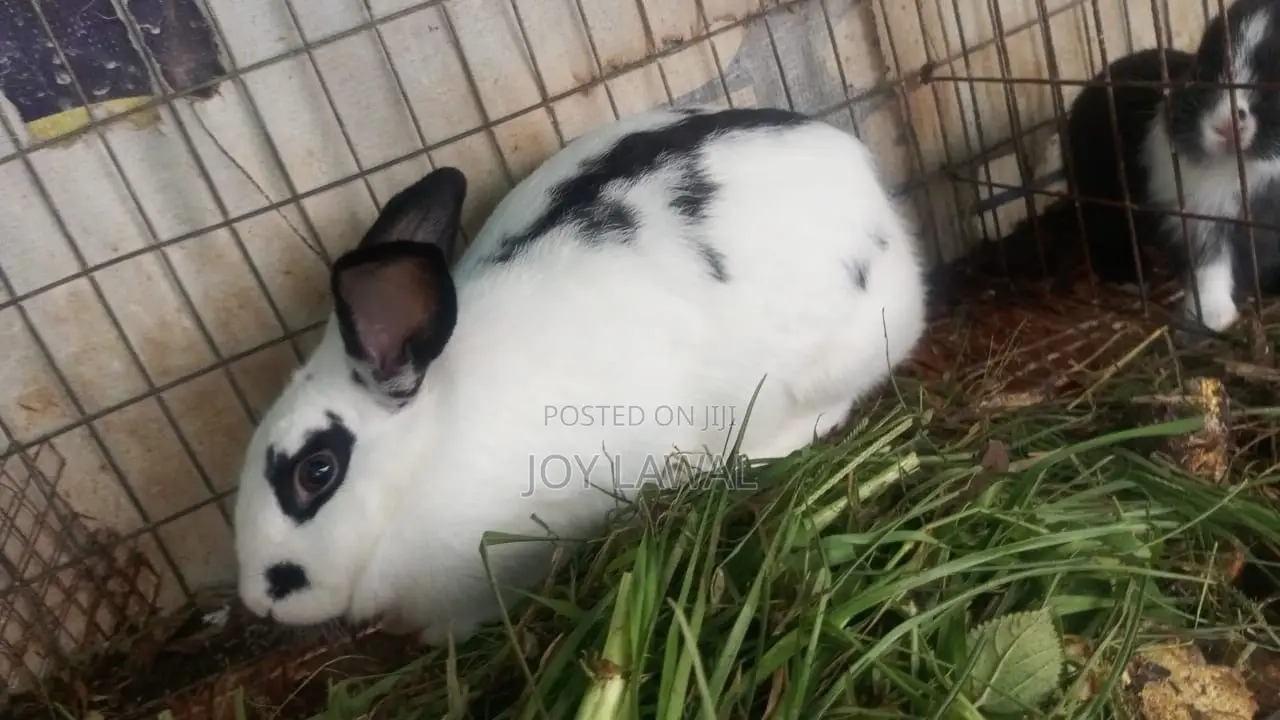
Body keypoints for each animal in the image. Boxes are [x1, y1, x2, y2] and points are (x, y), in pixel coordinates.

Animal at [989, 0, 1280, 333]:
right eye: (1202, 72)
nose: (1224, 126)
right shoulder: (1200, 214)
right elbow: (1209, 266)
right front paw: (1213, 317)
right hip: (1103, 197)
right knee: (1104, 234)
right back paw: (1131, 276)